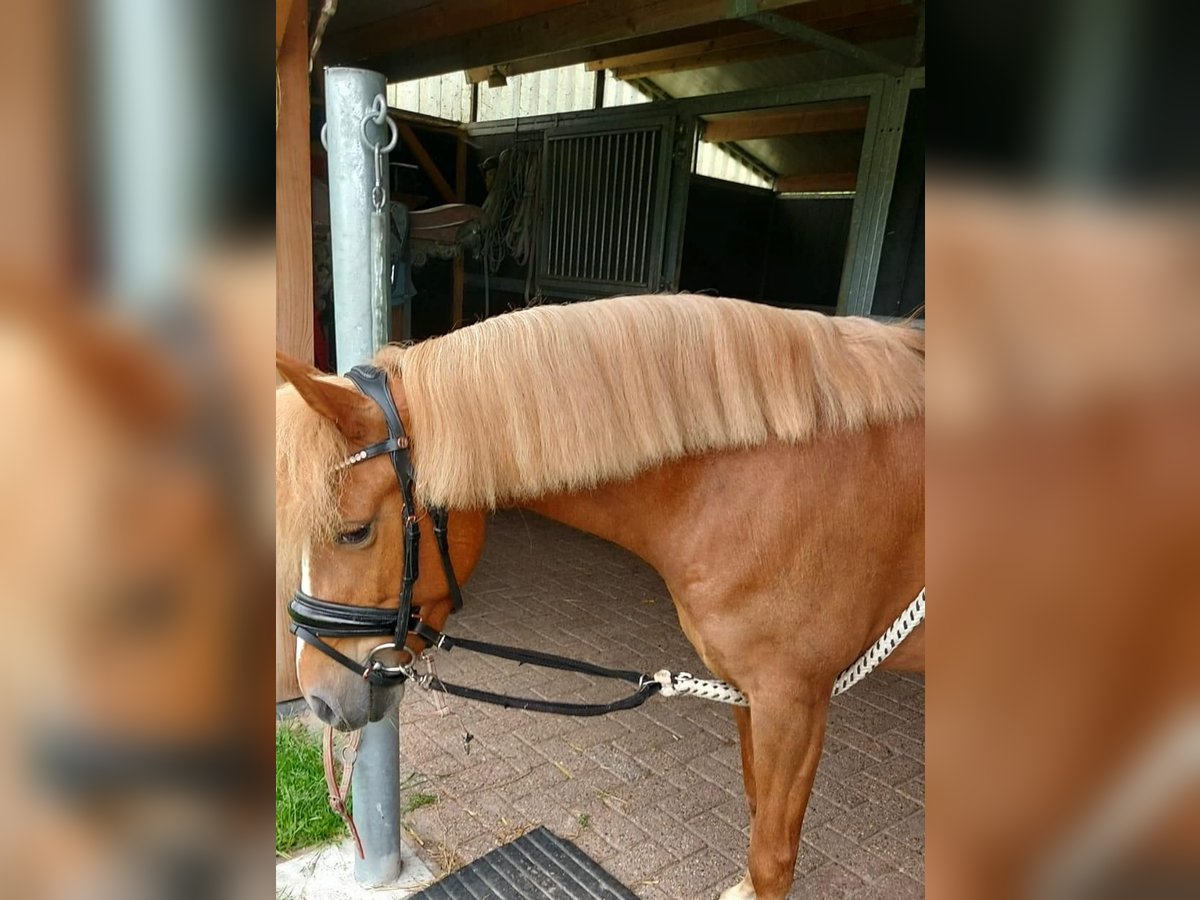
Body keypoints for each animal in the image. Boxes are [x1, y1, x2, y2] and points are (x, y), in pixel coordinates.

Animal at [276, 292, 921, 897]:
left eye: (353, 531)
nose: (319, 698)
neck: (759, 485)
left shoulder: (794, 701)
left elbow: (772, 860)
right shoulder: (748, 692)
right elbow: (759, 809)